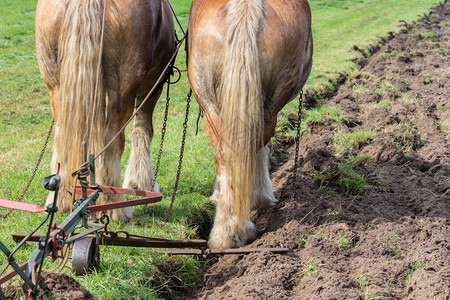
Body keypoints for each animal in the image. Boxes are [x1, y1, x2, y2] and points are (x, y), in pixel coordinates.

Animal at [35, 0, 175, 220]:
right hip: (123, 86)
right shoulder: (154, 86)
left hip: (55, 82)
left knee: (62, 135)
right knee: (112, 139)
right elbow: (143, 130)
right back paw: (115, 205)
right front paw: (140, 183)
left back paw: (64, 200)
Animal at [188, 0, 312, 247]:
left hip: (213, 110)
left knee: (227, 157)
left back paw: (228, 230)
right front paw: (261, 196)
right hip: (265, 109)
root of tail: (245, 7)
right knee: (247, 150)